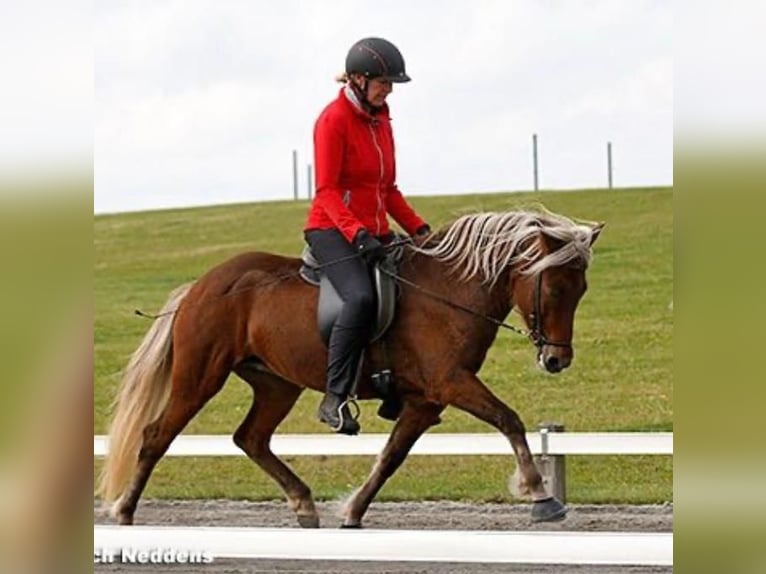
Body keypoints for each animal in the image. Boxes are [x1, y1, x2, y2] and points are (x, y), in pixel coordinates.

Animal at [97, 207, 604, 528]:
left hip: (276, 384)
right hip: (200, 377)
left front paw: (353, 511)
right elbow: (509, 419)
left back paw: (304, 505)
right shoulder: (451, 383)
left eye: (581, 290)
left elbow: (391, 457)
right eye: (553, 288)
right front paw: (540, 495)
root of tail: (201, 286)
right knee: (156, 436)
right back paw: (124, 510)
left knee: (251, 439)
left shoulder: (425, 400)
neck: (449, 291)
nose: (557, 360)